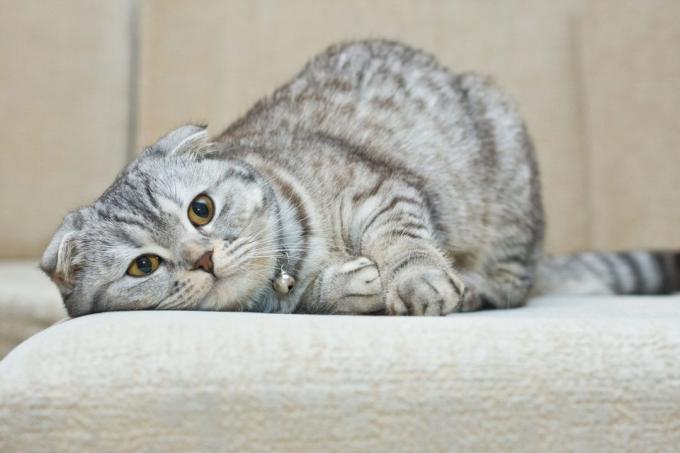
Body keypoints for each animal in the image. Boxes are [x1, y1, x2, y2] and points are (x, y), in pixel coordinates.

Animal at [42, 40, 680, 316]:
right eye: (144, 266)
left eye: (201, 209)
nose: (203, 258)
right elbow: (314, 300)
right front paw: (349, 287)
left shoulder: (377, 189)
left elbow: (405, 242)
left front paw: (415, 278)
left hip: (507, 185)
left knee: (511, 285)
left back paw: (472, 287)